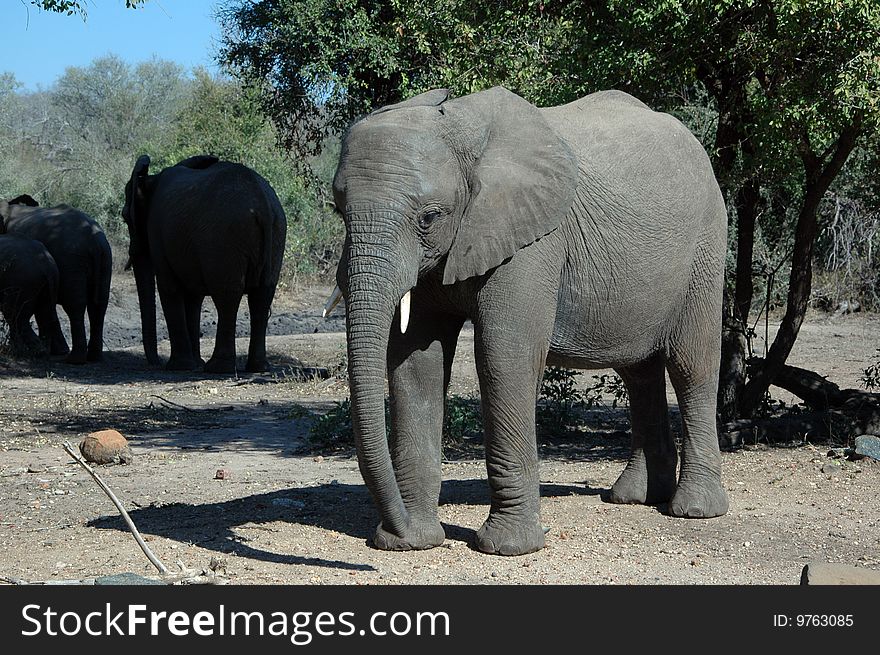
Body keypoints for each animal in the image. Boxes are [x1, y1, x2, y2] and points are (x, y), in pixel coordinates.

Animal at [0, 195, 111, 368]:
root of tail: (94, 241)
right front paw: (57, 351)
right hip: (105, 258)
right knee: (99, 305)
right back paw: (94, 357)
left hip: (71, 259)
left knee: (74, 305)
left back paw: (74, 360)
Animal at [124, 151, 288, 372]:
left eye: (125, 218)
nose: (156, 363)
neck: (150, 179)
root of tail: (263, 205)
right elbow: (194, 297)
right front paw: (194, 364)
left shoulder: (157, 232)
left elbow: (169, 288)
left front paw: (180, 366)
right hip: (277, 231)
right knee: (262, 296)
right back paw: (257, 367)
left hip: (225, 239)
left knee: (227, 296)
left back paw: (217, 368)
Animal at [330, 86, 728, 560]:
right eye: (338, 211)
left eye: (429, 217)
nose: (399, 528)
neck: (462, 129)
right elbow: (414, 363)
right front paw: (412, 543)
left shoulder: (532, 240)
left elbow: (504, 356)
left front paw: (506, 548)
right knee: (638, 371)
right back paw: (633, 497)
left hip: (706, 246)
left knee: (691, 366)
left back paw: (695, 510)